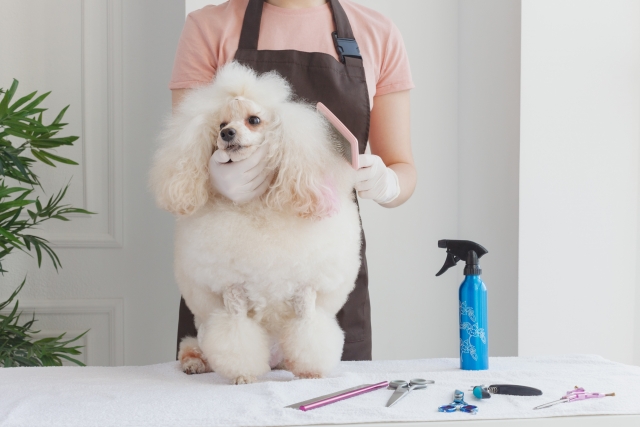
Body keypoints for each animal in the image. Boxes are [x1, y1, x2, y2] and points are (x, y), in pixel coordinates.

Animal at [149, 61, 360, 386]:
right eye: (220, 124)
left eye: (254, 120)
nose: (227, 133)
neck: (258, 205)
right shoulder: (232, 290)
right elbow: (237, 335)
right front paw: (242, 375)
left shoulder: (304, 290)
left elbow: (308, 329)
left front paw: (311, 372)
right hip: (202, 334)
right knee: (191, 346)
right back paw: (194, 364)